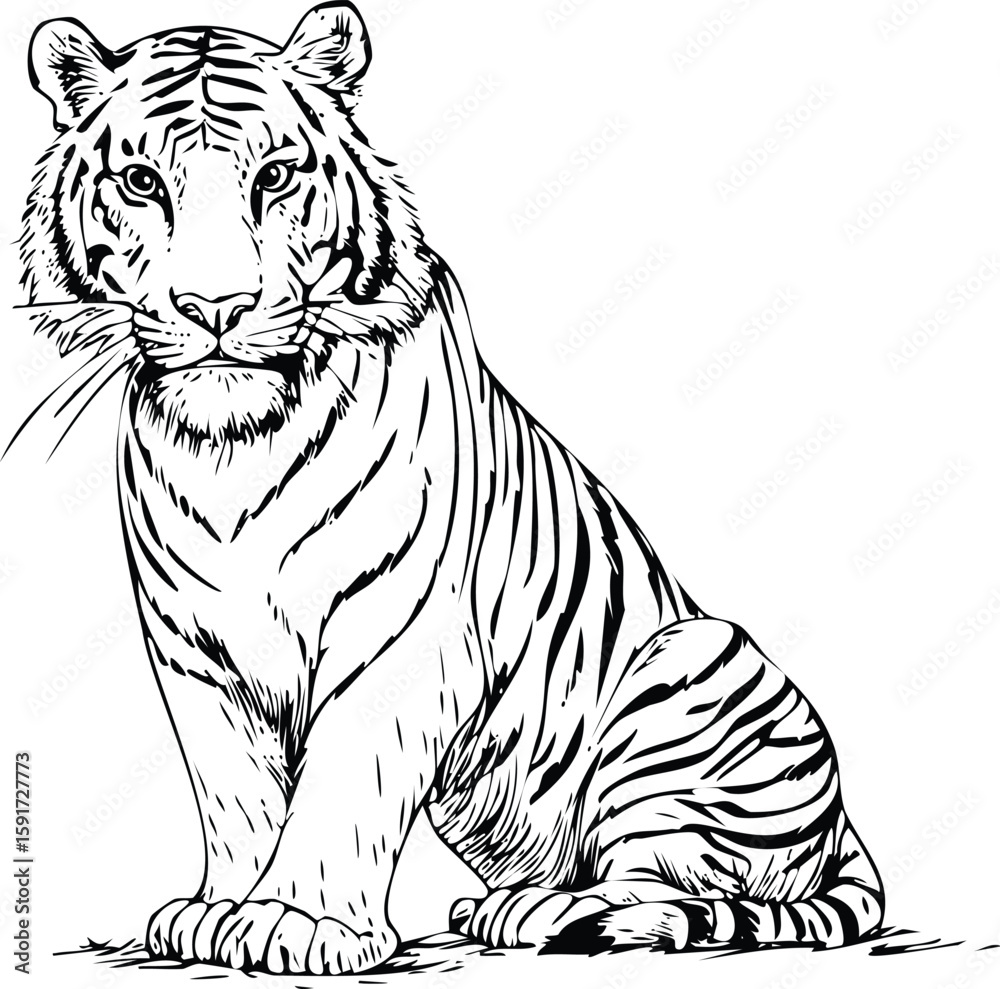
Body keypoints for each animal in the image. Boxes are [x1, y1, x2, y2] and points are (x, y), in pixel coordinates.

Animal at [18, 2, 884, 976]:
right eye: (140, 181)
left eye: (275, 176)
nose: (215, 307)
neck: (233, 450)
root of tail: (848, 826)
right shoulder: (196, 654)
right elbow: (234, 790)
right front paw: (217, 911)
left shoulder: (401, 638)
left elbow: (344, 785)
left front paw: (295, 920)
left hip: (690, 667)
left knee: (665, 889)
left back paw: (537, 911)